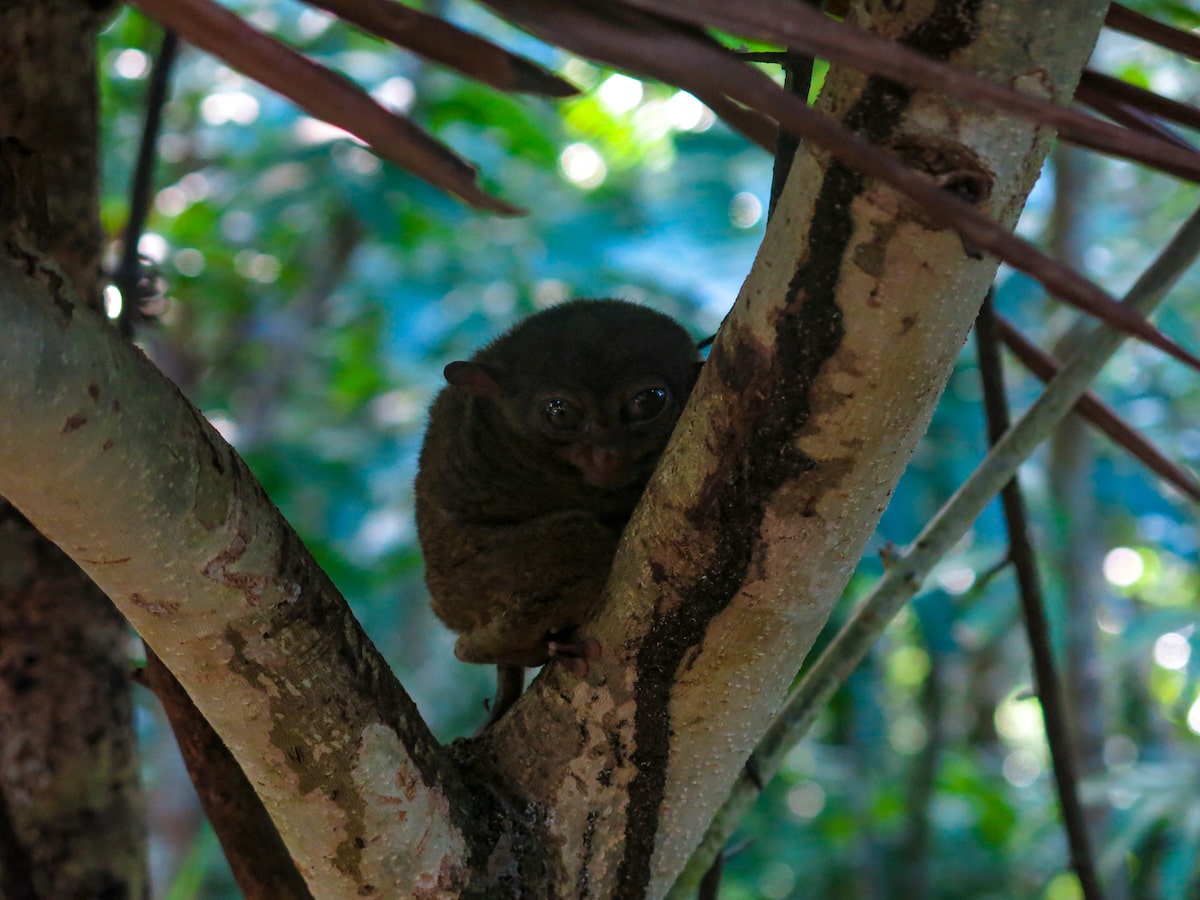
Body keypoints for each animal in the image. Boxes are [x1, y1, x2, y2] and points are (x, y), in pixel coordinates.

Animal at [415, 298, 700, 728]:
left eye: (648, 400)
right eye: (559, 411)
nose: (607, 453)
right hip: (469, 583)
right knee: (581, 542)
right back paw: (489, 649)